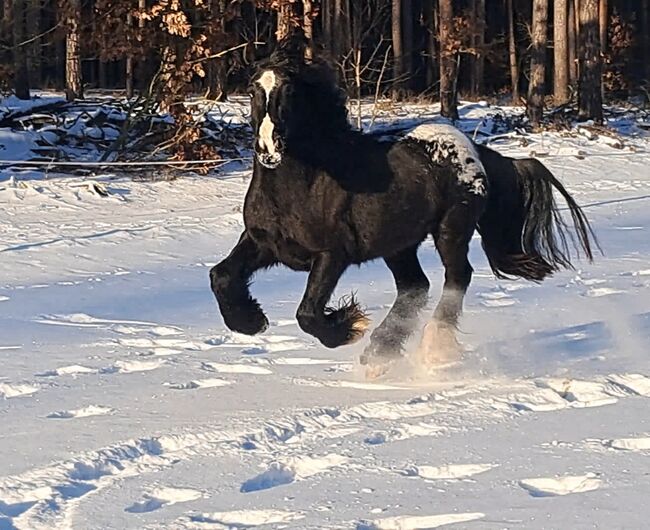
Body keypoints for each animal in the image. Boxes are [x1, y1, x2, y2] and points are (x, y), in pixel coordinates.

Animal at [209, 34, 596, 372]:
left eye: (289, 91)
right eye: (253, 90)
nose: (268, 149)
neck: (298, 188)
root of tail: (475, 150)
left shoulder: (332, 255)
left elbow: (307, 313)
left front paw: (349, 326)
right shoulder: (263, 243)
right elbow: (220, 276)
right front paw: (251, 321)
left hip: (450, 230)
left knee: (457, 278)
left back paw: (432, 347)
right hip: (399, 245)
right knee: (415, 287)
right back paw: (381, 355)